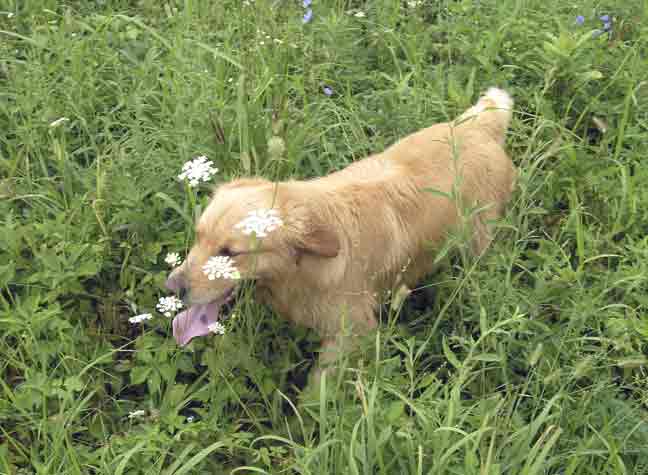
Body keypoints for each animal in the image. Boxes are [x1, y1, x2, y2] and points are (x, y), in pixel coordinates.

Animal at [166, 87, 516, 382]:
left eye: (230, 252)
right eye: (198, 236)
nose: (172, 287)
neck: (305, 268)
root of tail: (477, 125)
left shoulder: (352, 332)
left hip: (478, 241)